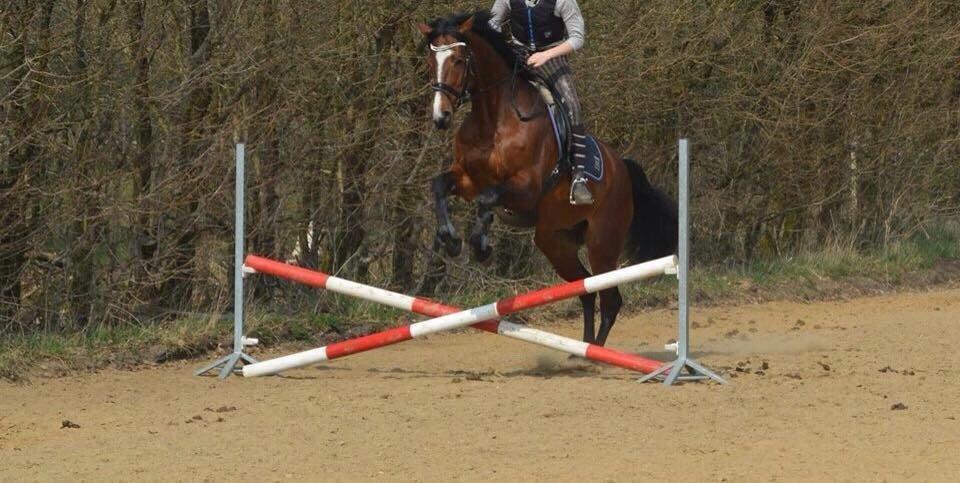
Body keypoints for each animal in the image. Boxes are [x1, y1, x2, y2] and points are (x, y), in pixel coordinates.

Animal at [418, 11, 677, 347]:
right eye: (430, 61)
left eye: (460, 60)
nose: (441, 117)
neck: (494, 119)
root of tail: (621, 167)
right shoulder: (467, 179)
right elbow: (439, 186)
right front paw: (449, 239)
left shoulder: (527, 188)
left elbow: (488, 199)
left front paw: (480, 245)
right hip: (555, 240)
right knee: (586, 290)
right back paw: (579, 349)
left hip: (602, 243)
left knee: (610, 299)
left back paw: (593, 352)